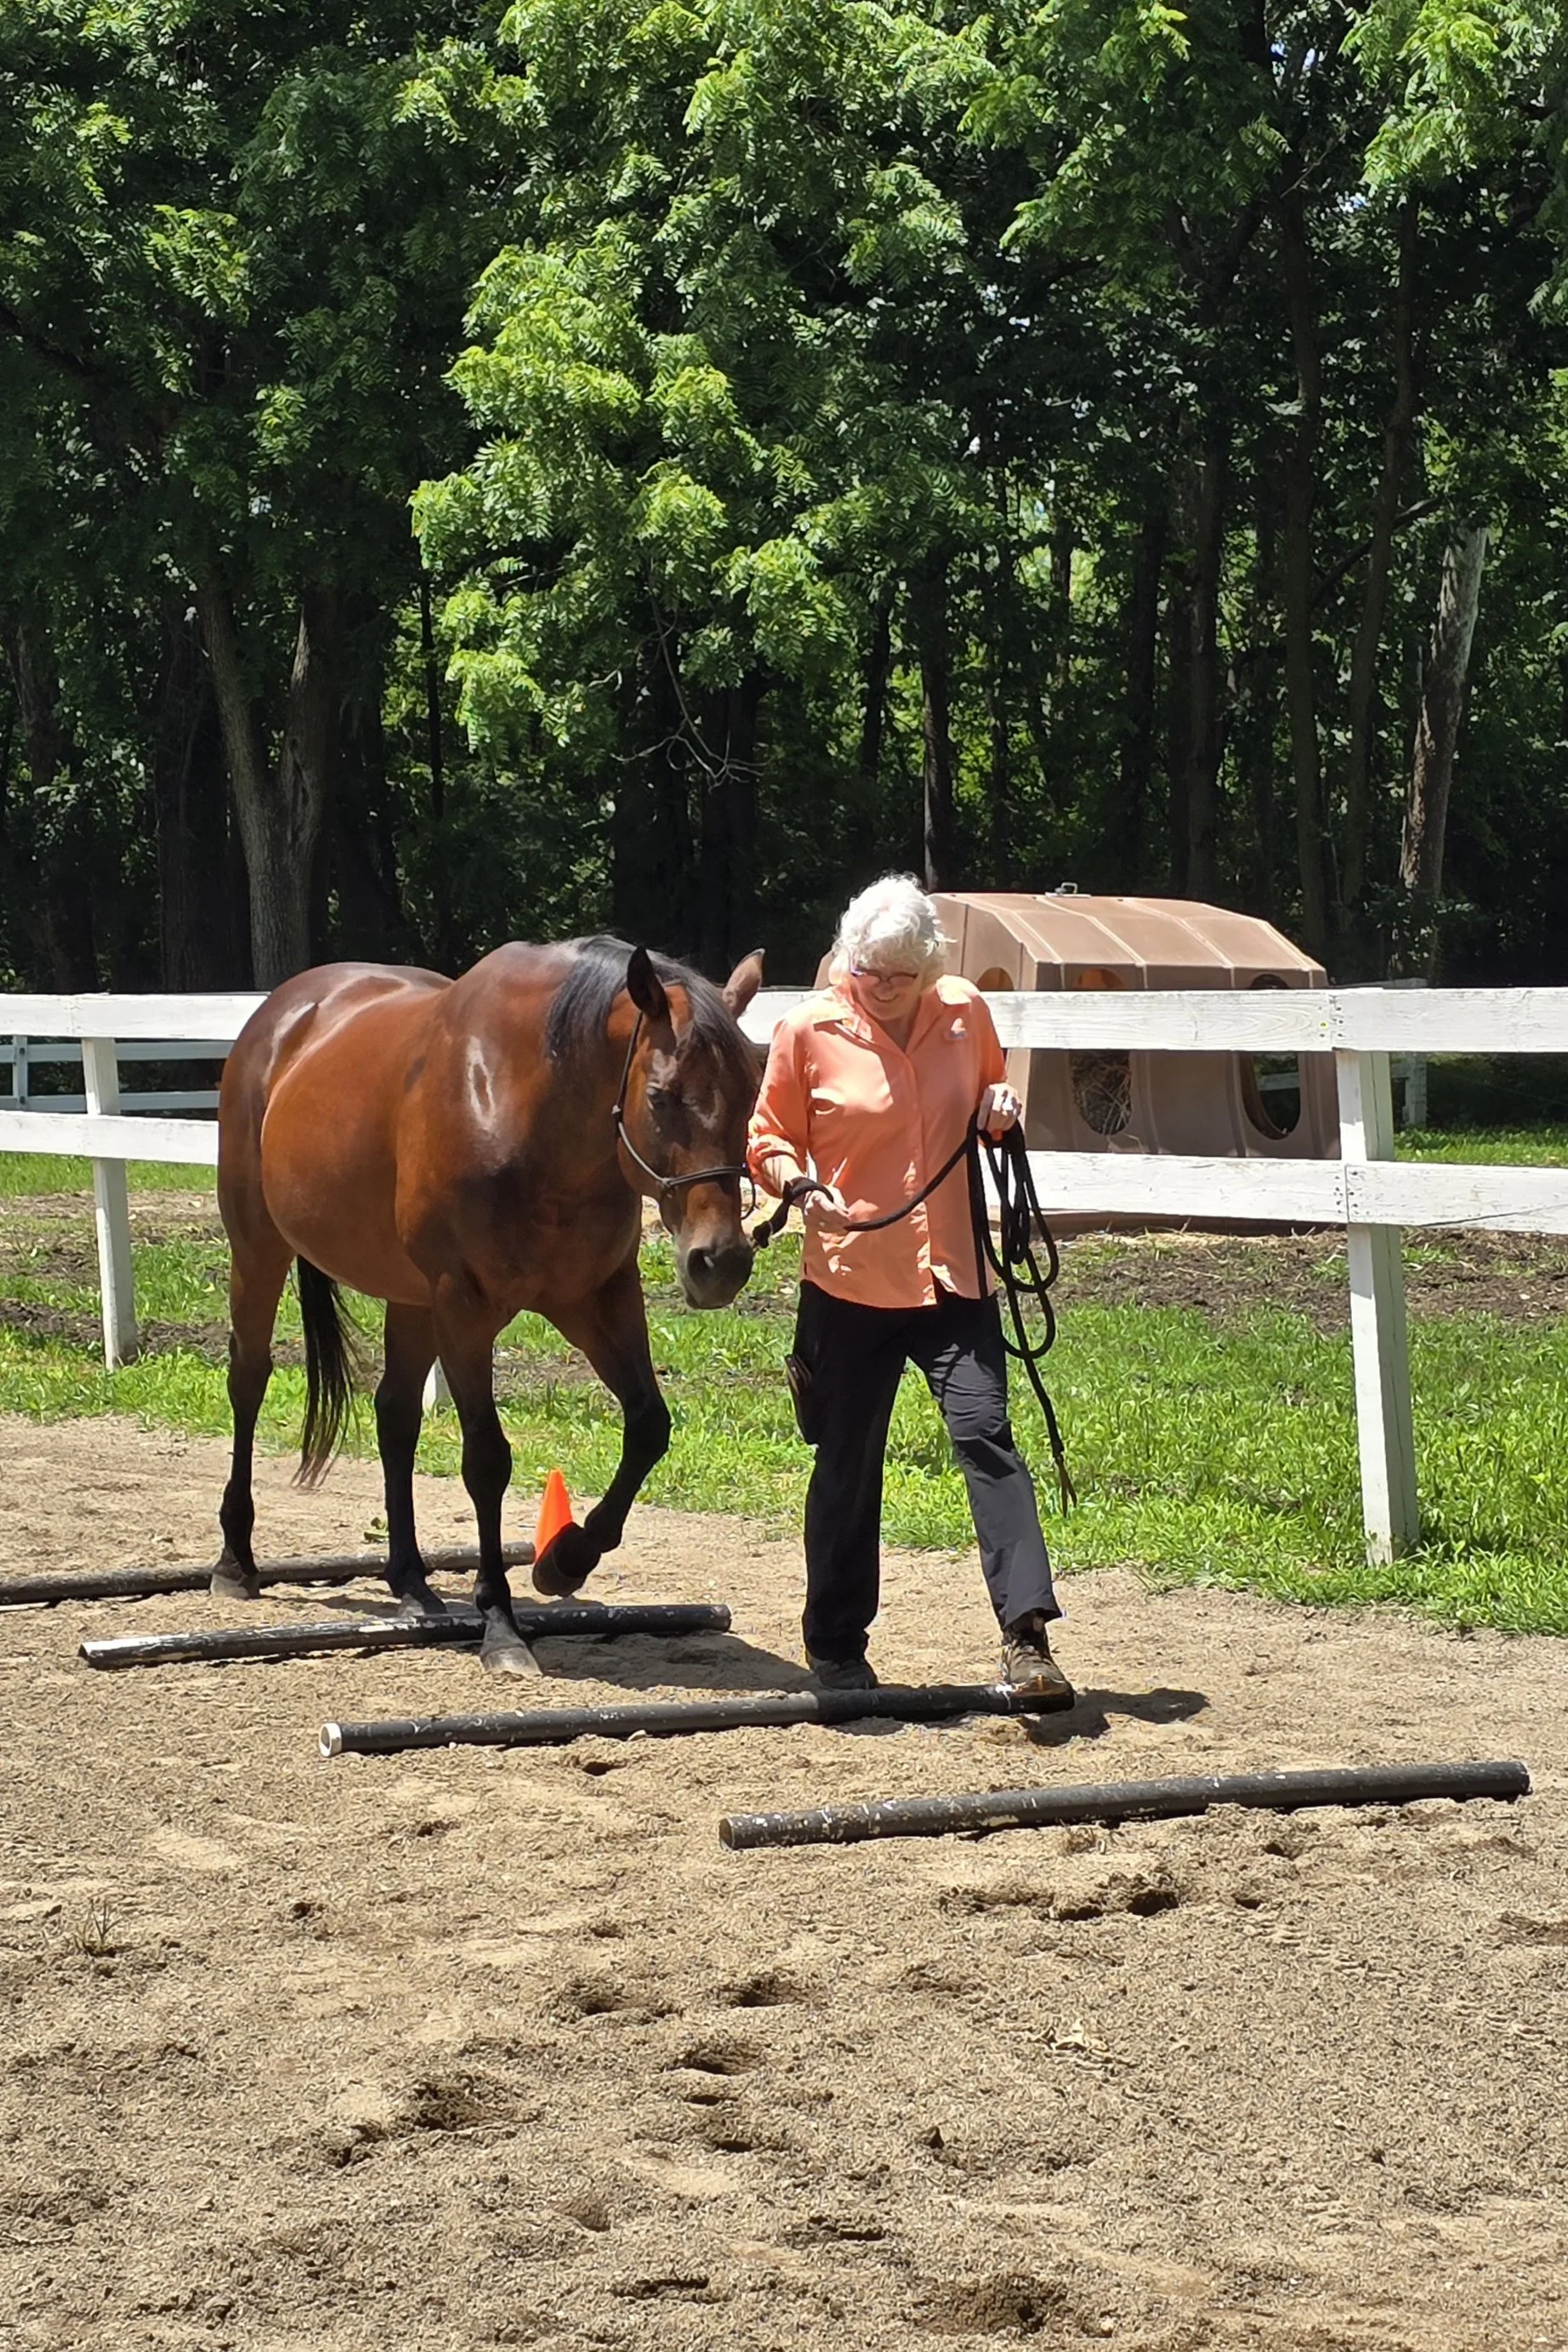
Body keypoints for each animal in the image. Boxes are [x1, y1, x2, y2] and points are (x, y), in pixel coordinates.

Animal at [214, 936, 764, 1671]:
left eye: (753, 1089)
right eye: (661, 1096)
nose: (720, 1262)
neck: (529, 1113)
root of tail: (281, 1015)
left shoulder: (597, 1297)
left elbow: (649, 1425)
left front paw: (565, 1559)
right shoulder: (465, 1308)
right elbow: (487, 1459)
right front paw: (500, 1621)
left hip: (410, 1298)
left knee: (395, 1416)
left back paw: (411, 1582)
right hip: (260, 1251)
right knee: (248, 1380)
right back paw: (236, 1560)